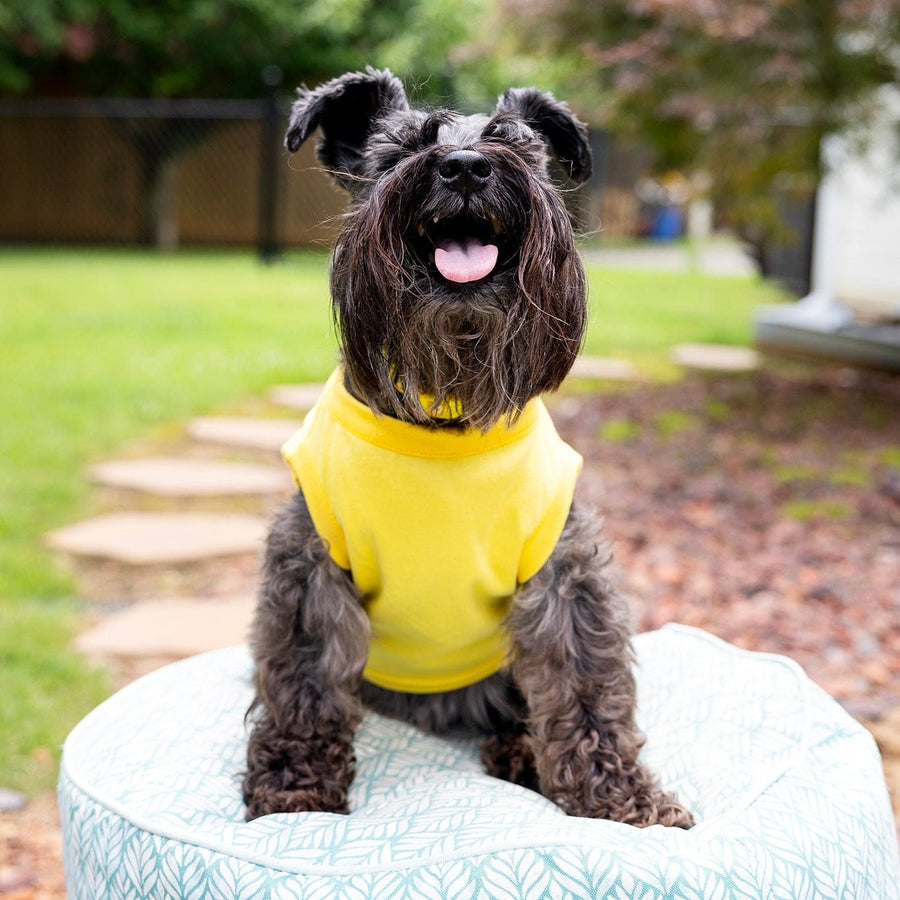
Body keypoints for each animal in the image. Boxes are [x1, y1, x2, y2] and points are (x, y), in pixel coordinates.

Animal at [241, 68, 696, 828]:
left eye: (514, 145)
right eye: (399, 152)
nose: (463, 167)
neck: (445, 412)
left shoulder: (564, 569)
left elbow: (584, 684)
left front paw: (619, 801)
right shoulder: (310, 565)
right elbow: (304, 680)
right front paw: (293, 789)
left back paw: (519, 752)